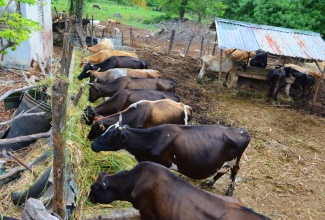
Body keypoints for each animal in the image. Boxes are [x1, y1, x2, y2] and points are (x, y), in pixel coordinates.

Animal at [91, 122, 251, 196]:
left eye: (110, 135)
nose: (93, 145)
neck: (153, 139)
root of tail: (242, 131)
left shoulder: (161, 163)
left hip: (235, 159)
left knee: (234, 171)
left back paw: (229, 191)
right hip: (226, 161)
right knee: (223, 170)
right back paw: (210, 182)